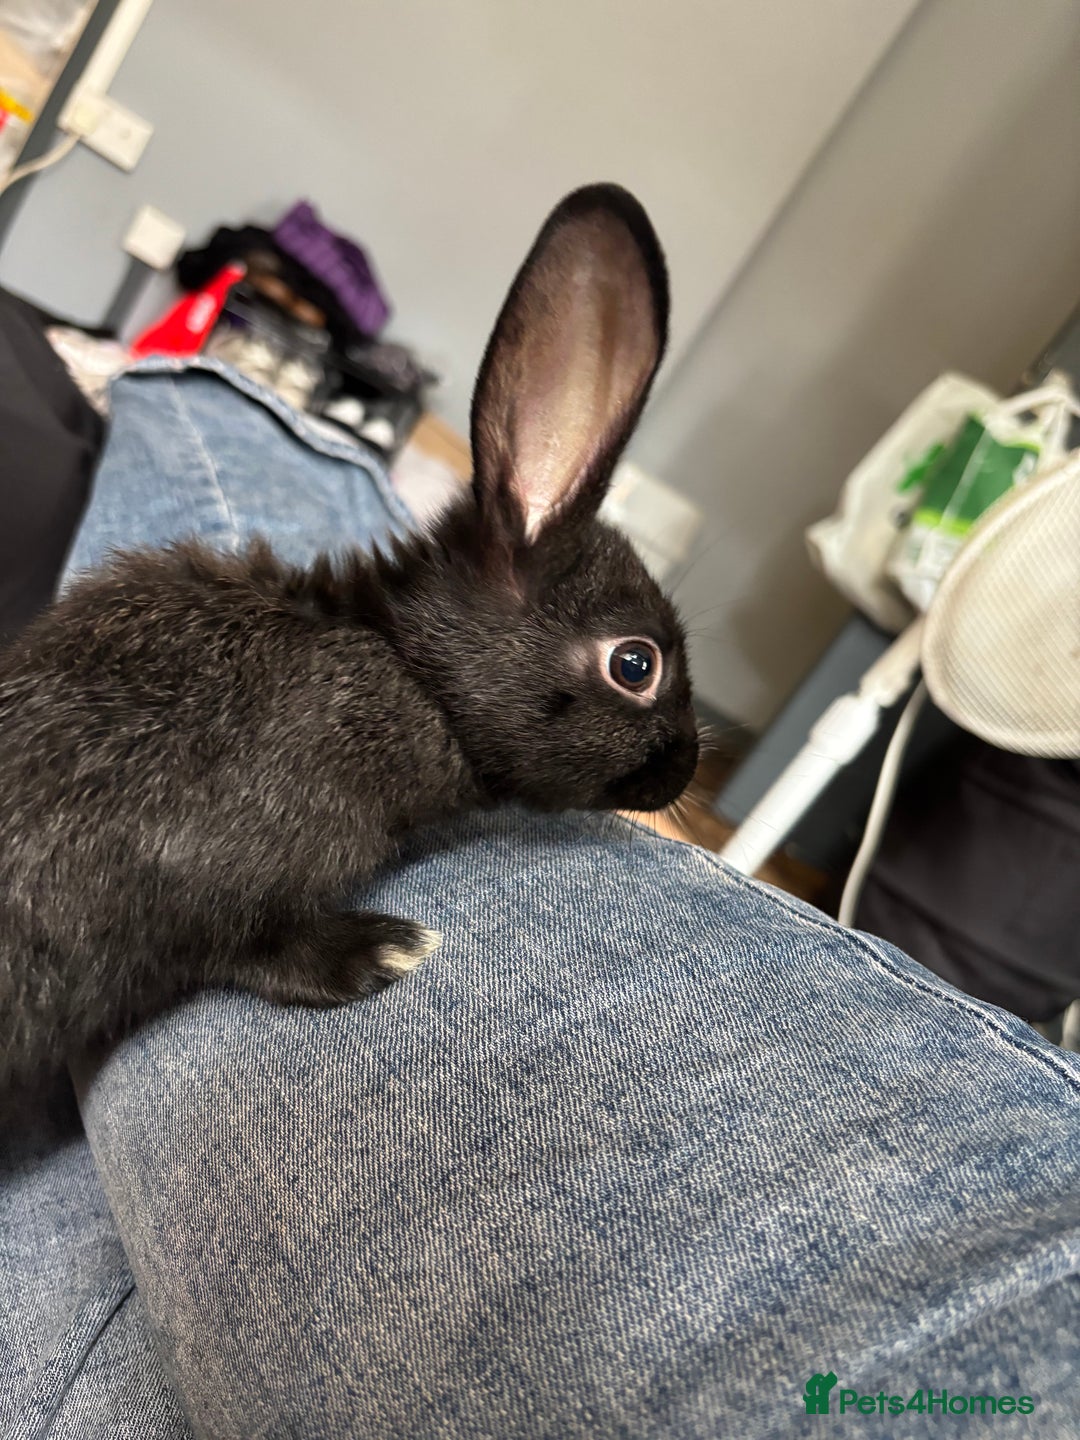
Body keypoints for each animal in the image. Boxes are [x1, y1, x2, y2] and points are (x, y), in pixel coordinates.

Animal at [0, 183, 698, 1086]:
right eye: (636, 663)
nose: (686, 771)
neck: (414, 674)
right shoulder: (204, 882)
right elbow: (242, 949)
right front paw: (382, 952)